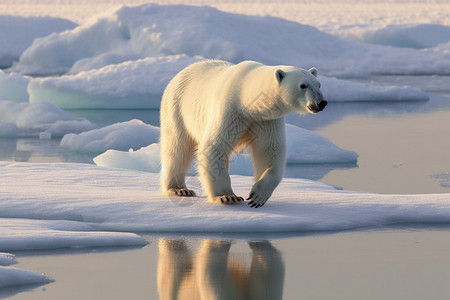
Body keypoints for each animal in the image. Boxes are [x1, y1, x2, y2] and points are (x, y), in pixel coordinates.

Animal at [160, 59, 326, 207]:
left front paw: (258, 196)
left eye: (318, 84)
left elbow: (270, 151)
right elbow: (215, 147)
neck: (246, 99)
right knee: (177, 148)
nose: (321, 102)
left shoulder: (266, 119)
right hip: (177, 108)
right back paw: (179, 189)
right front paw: (227, 196)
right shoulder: (230, 110)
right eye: (303, 85)